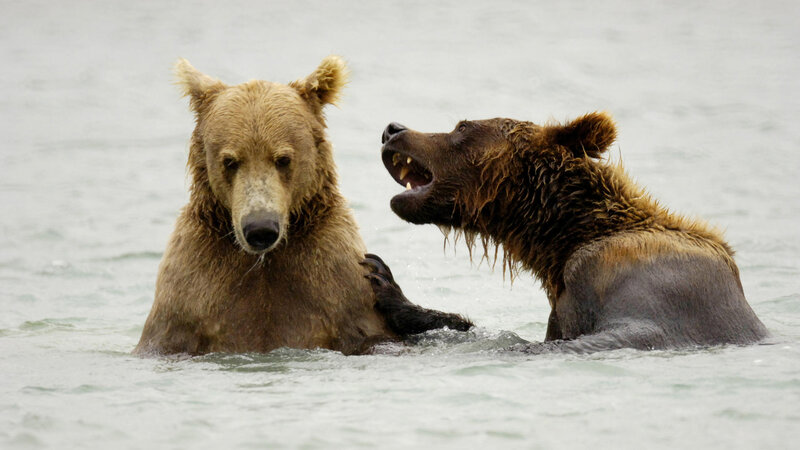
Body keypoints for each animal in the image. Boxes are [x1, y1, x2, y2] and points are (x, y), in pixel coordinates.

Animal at [134, 56, 471, 356]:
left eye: (283, 158)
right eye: (230, 161)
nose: (260, 228)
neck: (264, 261)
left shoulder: (335, 283)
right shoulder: (192, 294)